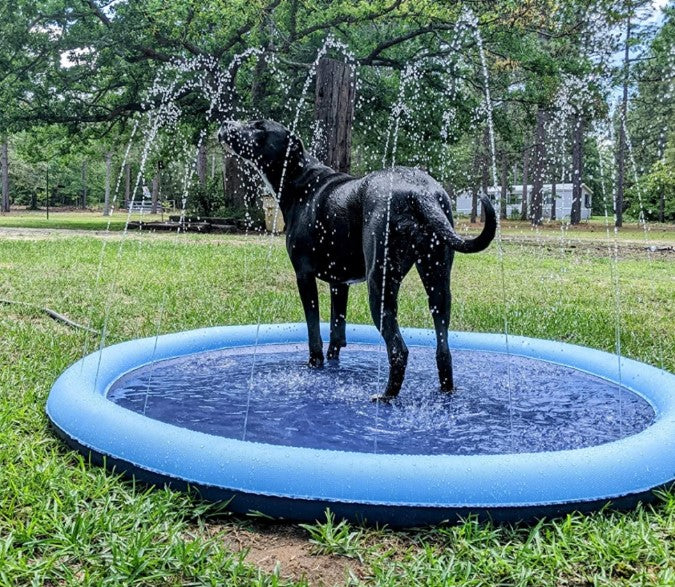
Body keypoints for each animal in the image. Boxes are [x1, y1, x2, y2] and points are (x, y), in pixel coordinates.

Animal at [222, 121, 496, 402]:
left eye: (259, 127)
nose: (226, 124)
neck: (300, 180)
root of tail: (419, 192)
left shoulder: (304, 275)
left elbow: (314, 331)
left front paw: (315, 364)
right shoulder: (339, 283)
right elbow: (336, 330)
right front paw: (333, 363)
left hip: (380, 284)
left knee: (398, 350)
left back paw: (386, 397)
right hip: (438, 282)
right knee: (443, 350)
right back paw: (444, 391)